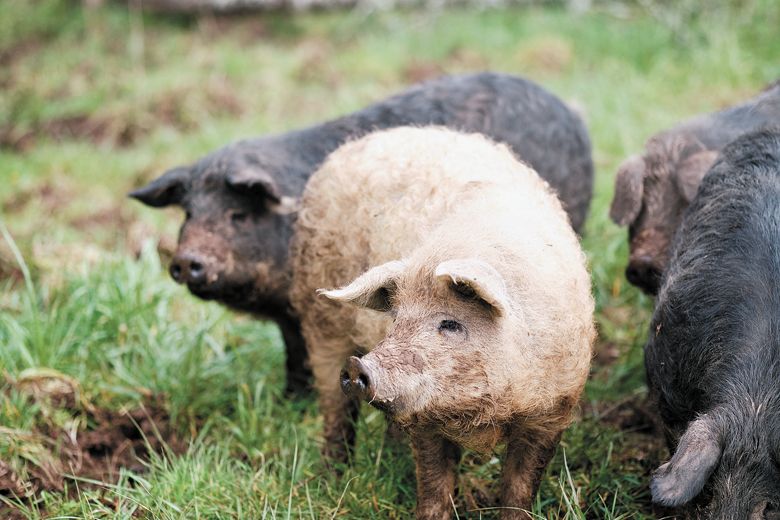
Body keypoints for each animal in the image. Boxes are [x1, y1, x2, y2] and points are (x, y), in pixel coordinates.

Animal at [129, 71, 592, 392]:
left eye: (237, 215)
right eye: (188, 214)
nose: (186, 260)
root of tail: (570, 112)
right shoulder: (290, 315)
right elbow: (294, 352)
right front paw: (290, 398)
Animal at [290, 127, 596, 520]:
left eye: (450, 324)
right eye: (397, 318)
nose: (359, 366)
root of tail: (358, 142)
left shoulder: (553, 410)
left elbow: (521, 486)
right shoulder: (424, 419)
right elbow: (435, 483)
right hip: (319, 321)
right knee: (335, 410)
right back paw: (331, 478)